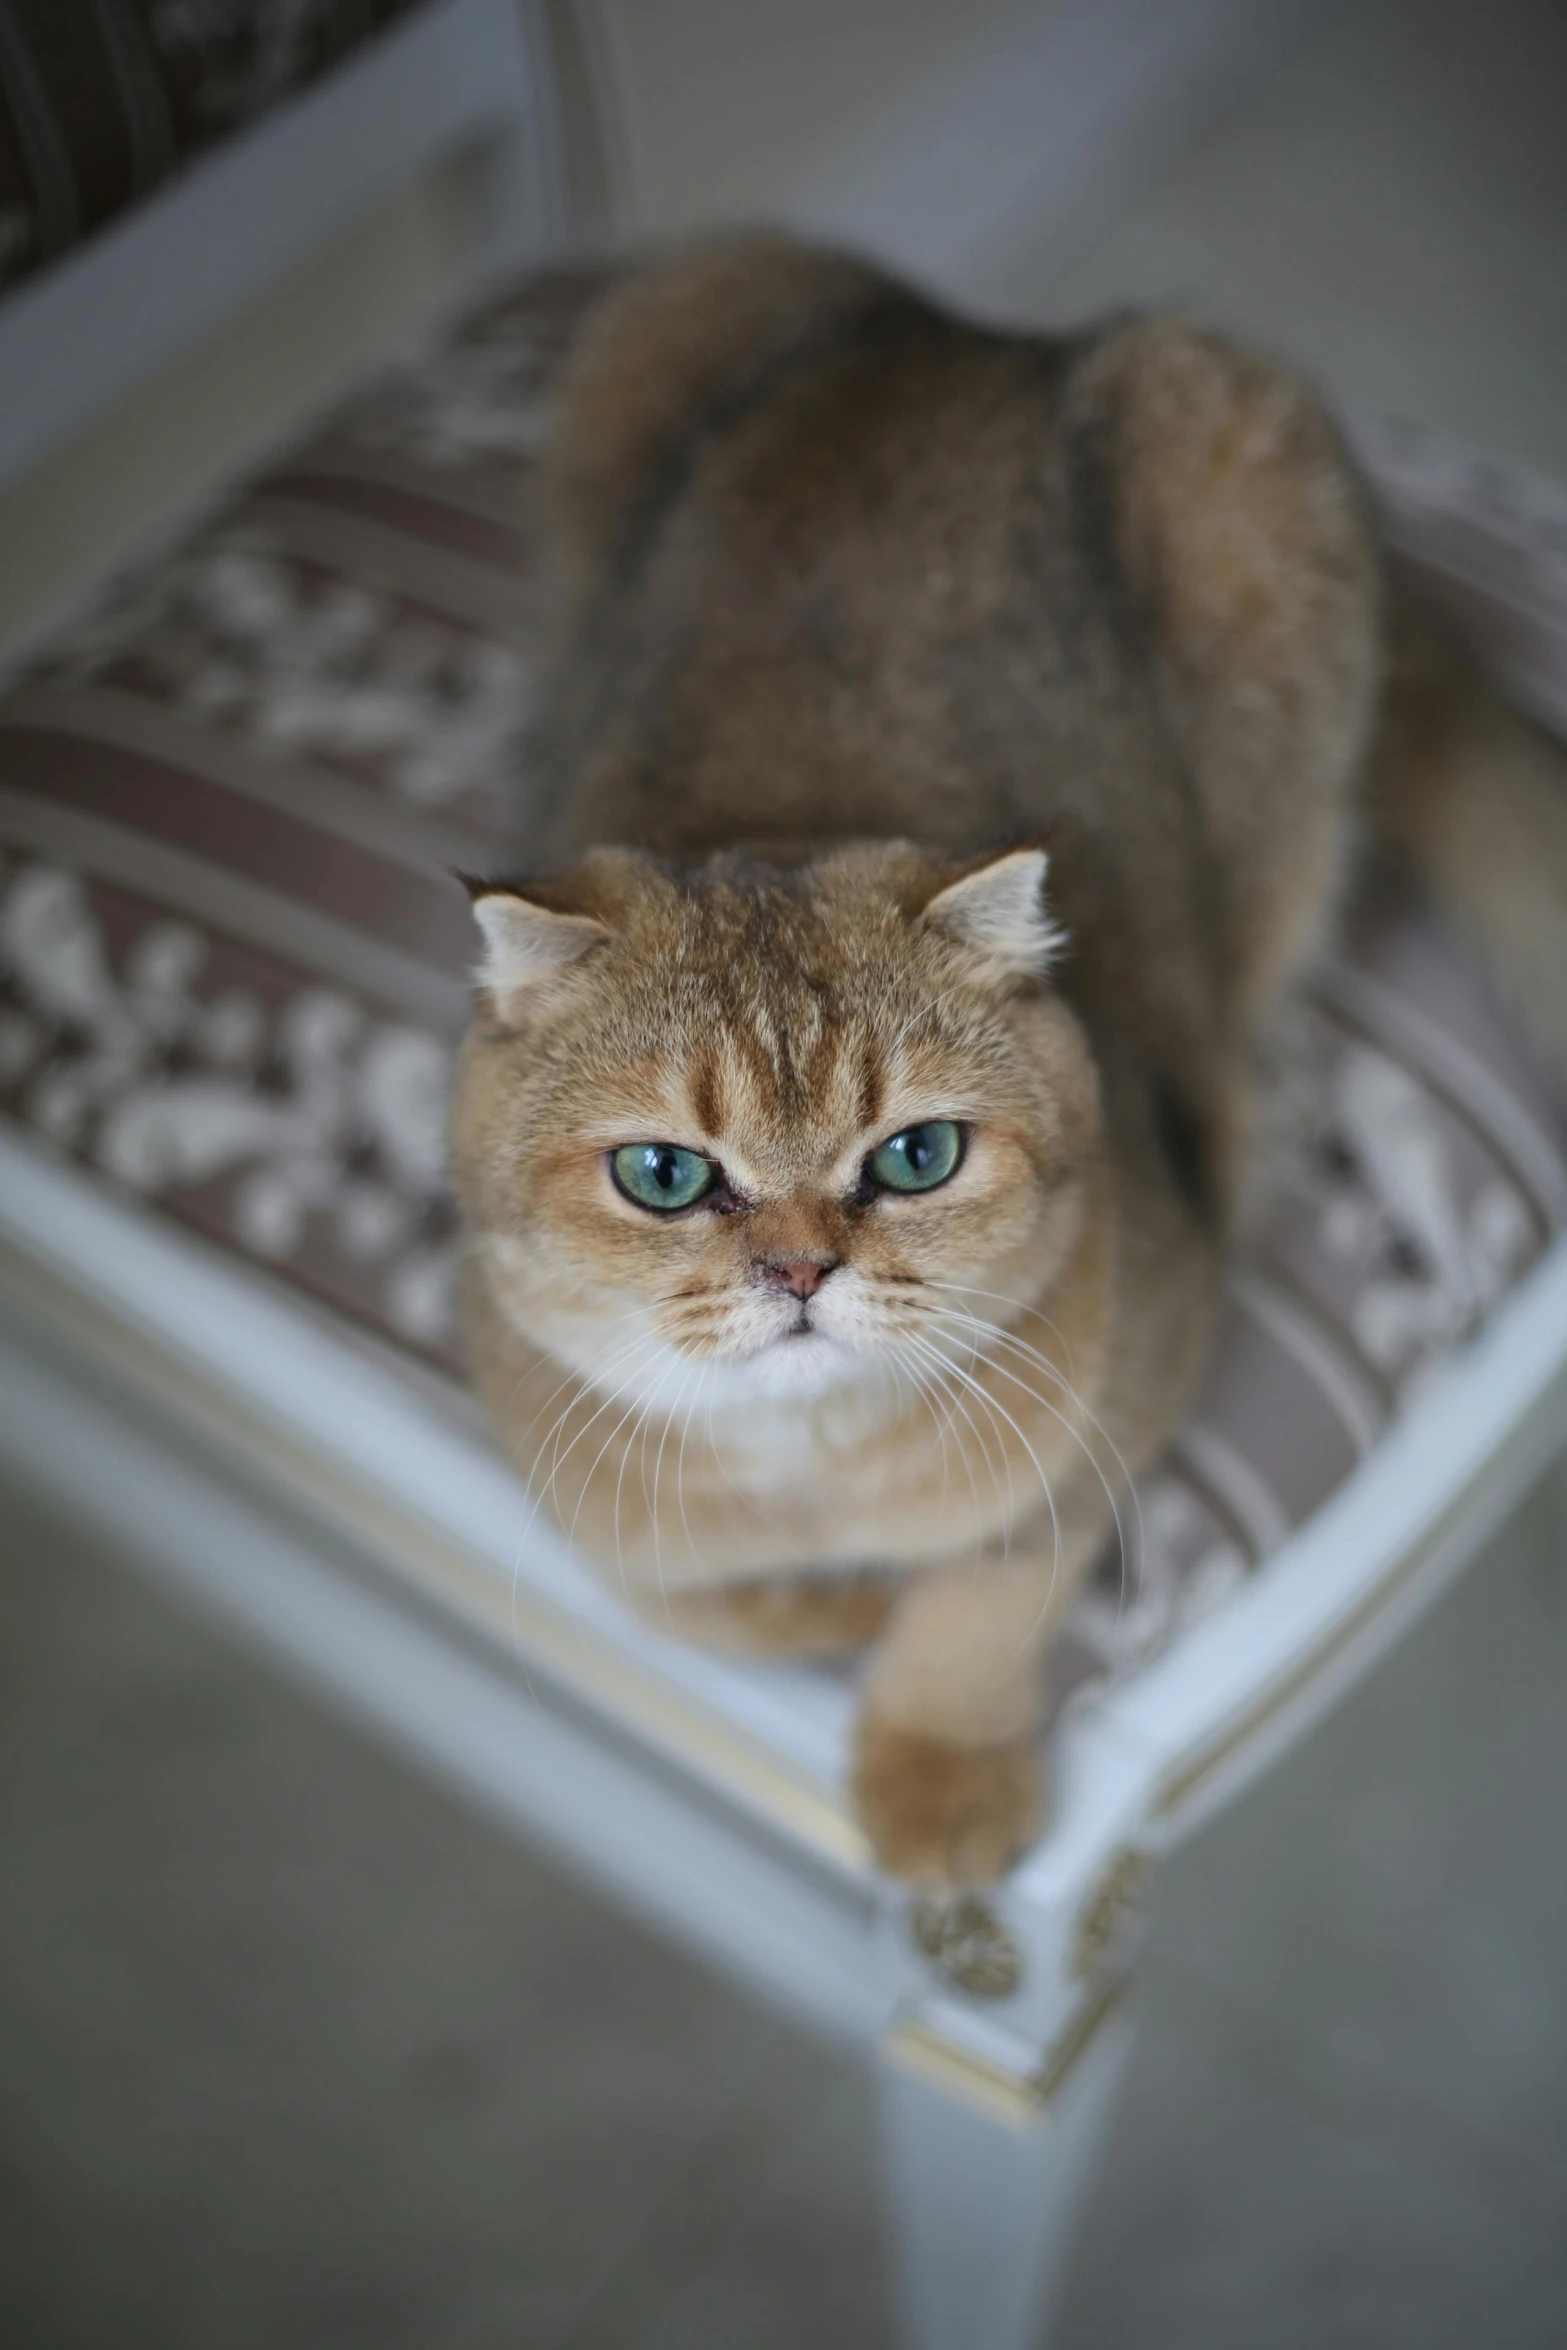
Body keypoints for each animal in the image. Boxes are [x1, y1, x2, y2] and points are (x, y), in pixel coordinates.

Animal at [444, 233, 1567, 1889]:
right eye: (662, 1174)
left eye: (914, 1155)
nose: (799, 1270)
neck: (815, 1460)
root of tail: (969, 336)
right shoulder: (564, 1468)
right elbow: (693, 1596)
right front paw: (830, 1600)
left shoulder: (1124, 1375)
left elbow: (987, 1582)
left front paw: (937, 1771)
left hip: (1240, 505)